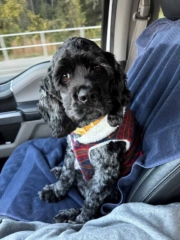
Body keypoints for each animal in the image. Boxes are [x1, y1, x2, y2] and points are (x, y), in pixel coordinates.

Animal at [38, 37, 142, 223]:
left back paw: (69, 215)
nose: (86, 96)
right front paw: (56, 191)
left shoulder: (105, 172)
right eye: (65, 76)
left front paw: (78, 222)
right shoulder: (71, 150)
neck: (87, 128)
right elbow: (66, 175)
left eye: (97, 68)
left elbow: (91, 202)